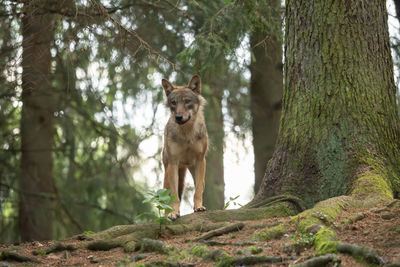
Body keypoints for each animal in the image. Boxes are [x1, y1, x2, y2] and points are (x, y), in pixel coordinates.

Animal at [161, 75, 208, 220]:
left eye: (187, 101)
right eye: (173, 103)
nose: (178, 117)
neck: (187, 133)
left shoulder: (200, 160)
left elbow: (197, 191)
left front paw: (199, 207)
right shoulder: (173, 163)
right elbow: (175, 196)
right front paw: (174, 213)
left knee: (200, 186)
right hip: (168, 173)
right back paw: (167, 215)